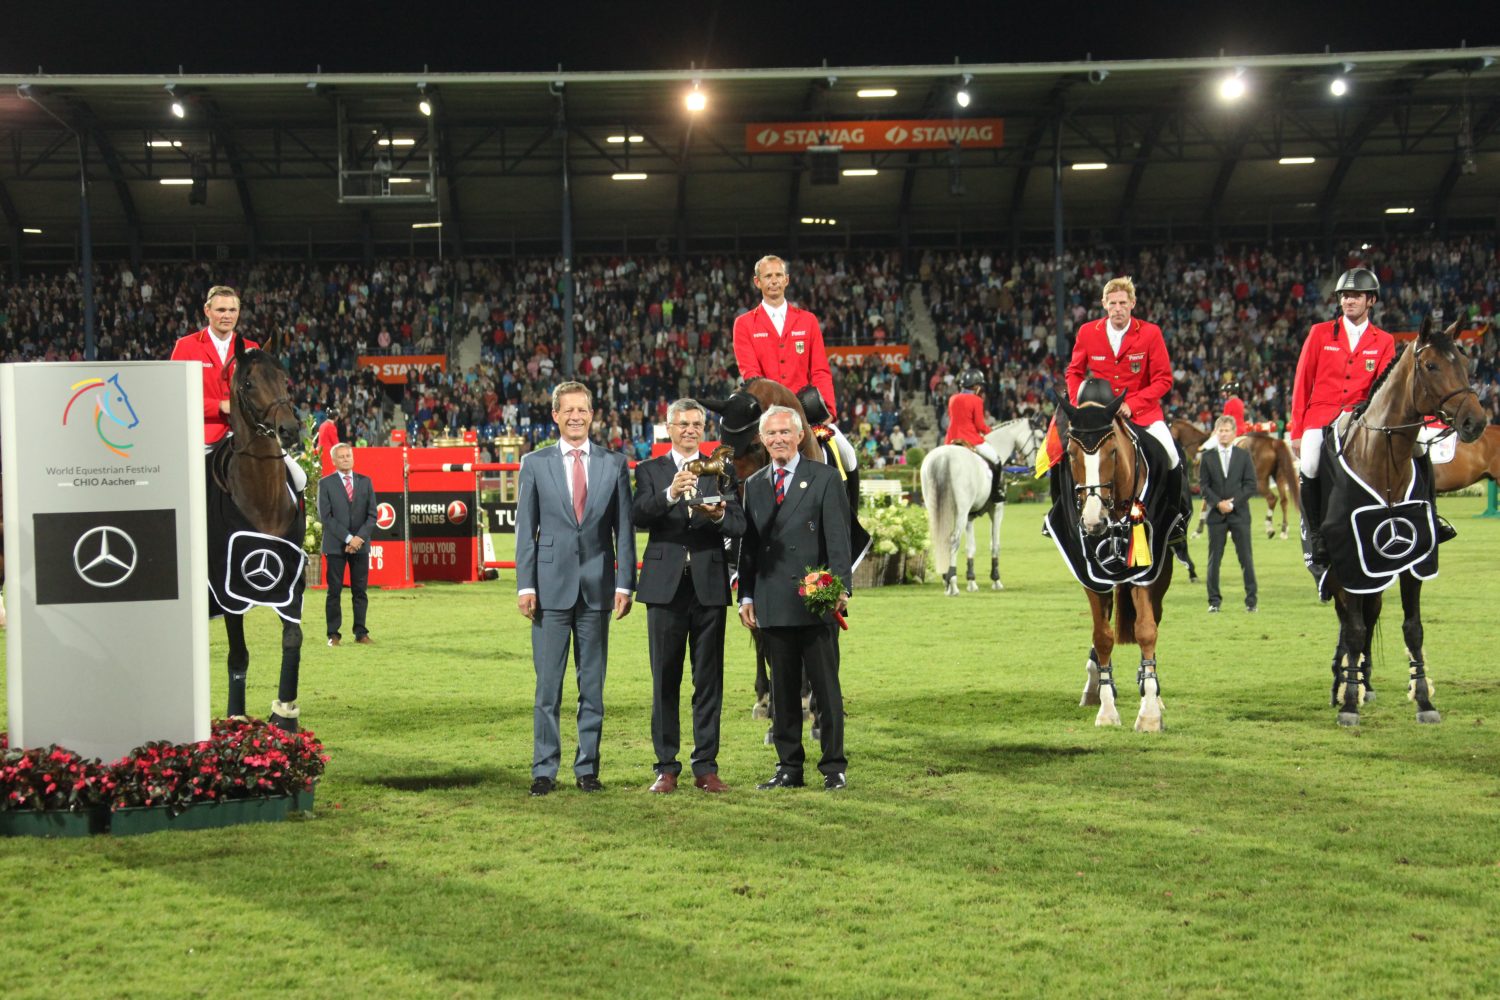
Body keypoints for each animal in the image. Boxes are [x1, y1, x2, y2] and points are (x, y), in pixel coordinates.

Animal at [912, 419, 1044, 599]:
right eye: (1040, 437)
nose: (1038, 469)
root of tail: (943, 458)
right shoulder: (996, 510)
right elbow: (995, 544)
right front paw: (996, 580)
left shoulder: (970, 517)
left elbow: (971, 547)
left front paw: (971, 582)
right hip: (960, 512)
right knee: (953, 540)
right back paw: (952, 585)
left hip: (936, 509)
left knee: (939, 540)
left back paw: (946, 579)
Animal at [1056, 386, 1170, 731]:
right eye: (1071, 453)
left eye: (1112, 452)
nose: (1094, 520)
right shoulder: (1089, 572)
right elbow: (1102, 636)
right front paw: (1106, 707)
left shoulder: (1147, 568)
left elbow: (1146, 630)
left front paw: (1149, 711)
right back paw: (1095, 685)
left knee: (1154, 617)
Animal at [1320, 319, 1482, 728]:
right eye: (1432, 366)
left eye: (1464, 363)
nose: (1477, 422)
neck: (1383, 462)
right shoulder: (1350, 564)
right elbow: (1355, 629)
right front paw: (1348, 703)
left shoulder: (1413, 561)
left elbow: (1413, 629)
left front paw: (1423, 699)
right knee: (1349, 623)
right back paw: (1343, 683)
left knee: (1368, 615)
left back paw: (1363, 681)